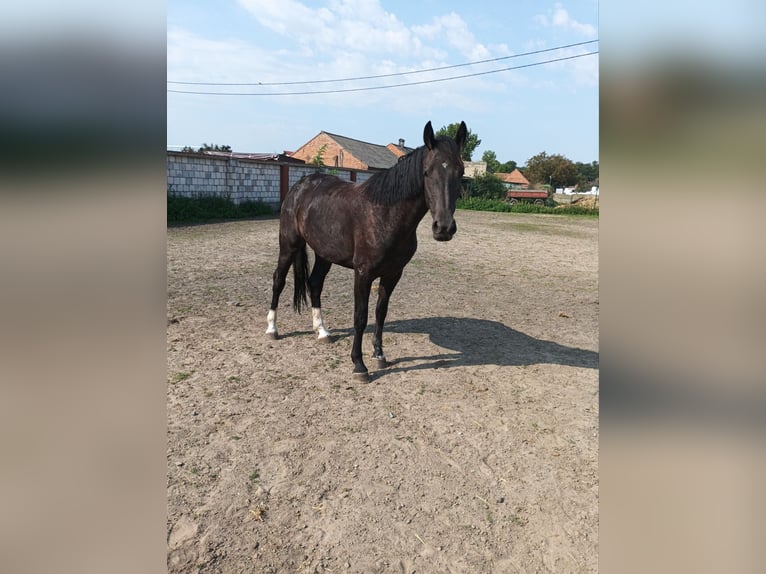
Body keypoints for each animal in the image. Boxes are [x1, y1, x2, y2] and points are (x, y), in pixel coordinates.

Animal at [268, 120, 468, 382]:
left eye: (460, 172)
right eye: (427, 172)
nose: (443, 228)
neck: (385, 214)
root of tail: (300, 186)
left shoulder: (393, 274)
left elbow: (380, 312)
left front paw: (379, 354)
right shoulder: (362, 274)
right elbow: (360, 317)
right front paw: (359, 365)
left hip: (324, 254)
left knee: (315, 284)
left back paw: (322, 331)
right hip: (289, 245)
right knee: (278, 280)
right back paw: (272, 328)